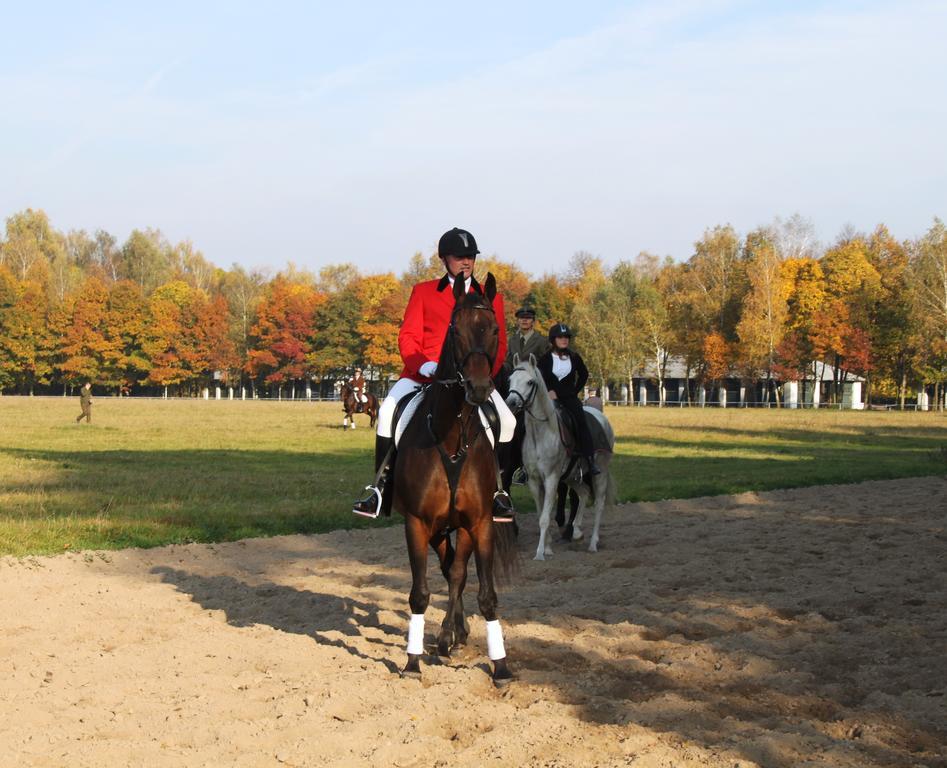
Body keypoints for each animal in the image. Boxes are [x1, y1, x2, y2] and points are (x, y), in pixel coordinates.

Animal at [508, 354, 620, 560]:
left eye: (530, 382)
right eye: (510, 380)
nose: (511, 402)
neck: (541, 433)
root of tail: (602, 418)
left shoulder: (552, 478)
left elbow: (545, 518)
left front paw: (540, 553)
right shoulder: (534, 480)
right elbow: (541, 514)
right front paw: (548, 547)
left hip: (600, 472)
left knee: (599, 503)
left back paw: (593, 543)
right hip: (571, 476)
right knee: (584, 492)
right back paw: (576, 531)